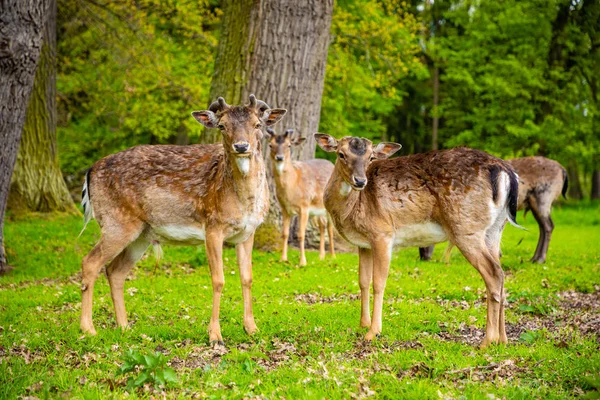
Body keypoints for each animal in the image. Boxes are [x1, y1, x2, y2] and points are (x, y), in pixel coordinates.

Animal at [79, 95, 286, 346]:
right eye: (222, 126)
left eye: (257, 124)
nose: (241, 146)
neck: (244, 202)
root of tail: (89, 171)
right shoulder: (212, 226)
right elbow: (218, 280)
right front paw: (215, 336)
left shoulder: (248, 232)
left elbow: (247, 278)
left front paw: (252, 329)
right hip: (115, 222)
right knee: (90, 262)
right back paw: (88, 329)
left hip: (140, 234)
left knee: (115, 271)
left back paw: (125, 327)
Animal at [266, 128, 336, 266]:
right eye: (270, 145)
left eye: (289, 145)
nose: (279, 157)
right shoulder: (284, 208)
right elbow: (285, 233)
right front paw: (283, 259)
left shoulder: (304, 206)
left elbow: (301, 234)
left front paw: (302, 262)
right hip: (317, 209)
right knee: (322, 225)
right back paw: (321, 256)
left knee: (330, 228)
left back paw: (332, 256)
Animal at [314, 134, 520, 346]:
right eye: (341, 154)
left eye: (371, 157)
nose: (361, 181)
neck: (352, 209)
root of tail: (506, 172)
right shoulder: (364, 244)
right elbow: (363, 281)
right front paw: (363, 324)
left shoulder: (382, 233)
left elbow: (378, 282)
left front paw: (373, 332)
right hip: (495, 230)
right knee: (501, 273)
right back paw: (503, 340)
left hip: (466, 228)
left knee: (493, 273)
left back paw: (487, 341)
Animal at [418, 155, 568, 264]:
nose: (423, 256)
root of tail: (563, 170)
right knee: (543, 226)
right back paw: (534, 258)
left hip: (543, 198)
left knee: (548, 225)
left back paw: (540, 259)